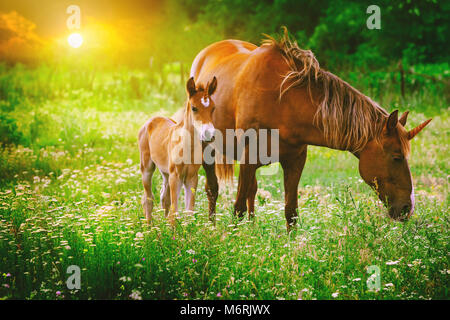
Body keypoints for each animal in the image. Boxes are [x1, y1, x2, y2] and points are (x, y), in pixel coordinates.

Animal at [138, 76, 217, 224]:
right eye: (194, 108)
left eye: (213, 108)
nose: (209, 134)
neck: (187, 148)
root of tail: (151, 120)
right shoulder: (176, 176)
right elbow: (174, 213)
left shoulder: (192, 177)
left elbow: (189, 212)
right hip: (147, 167)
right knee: (148, 199)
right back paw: (149, 227)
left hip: (165, 172)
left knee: (164, 198)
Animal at [189, 29, 428, 230]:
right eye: (397, 157)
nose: (407, 208)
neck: (281, 100)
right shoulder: (248, 160)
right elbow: (237, 209)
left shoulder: (294, 161)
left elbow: (290, 211)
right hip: (206, 149)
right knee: (213, 189)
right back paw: (211, 227)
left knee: (252, 191)